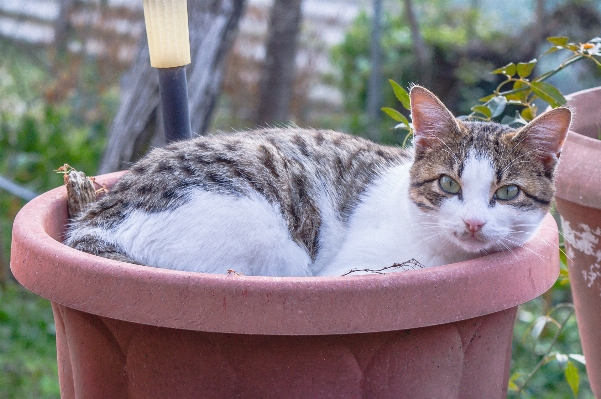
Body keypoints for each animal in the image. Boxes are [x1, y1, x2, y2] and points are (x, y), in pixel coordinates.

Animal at [63, 86, 568, 276]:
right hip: (272, 243)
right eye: (448, 185)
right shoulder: (350, 272)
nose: (474, 224)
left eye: (507, 192)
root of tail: (93, 222)